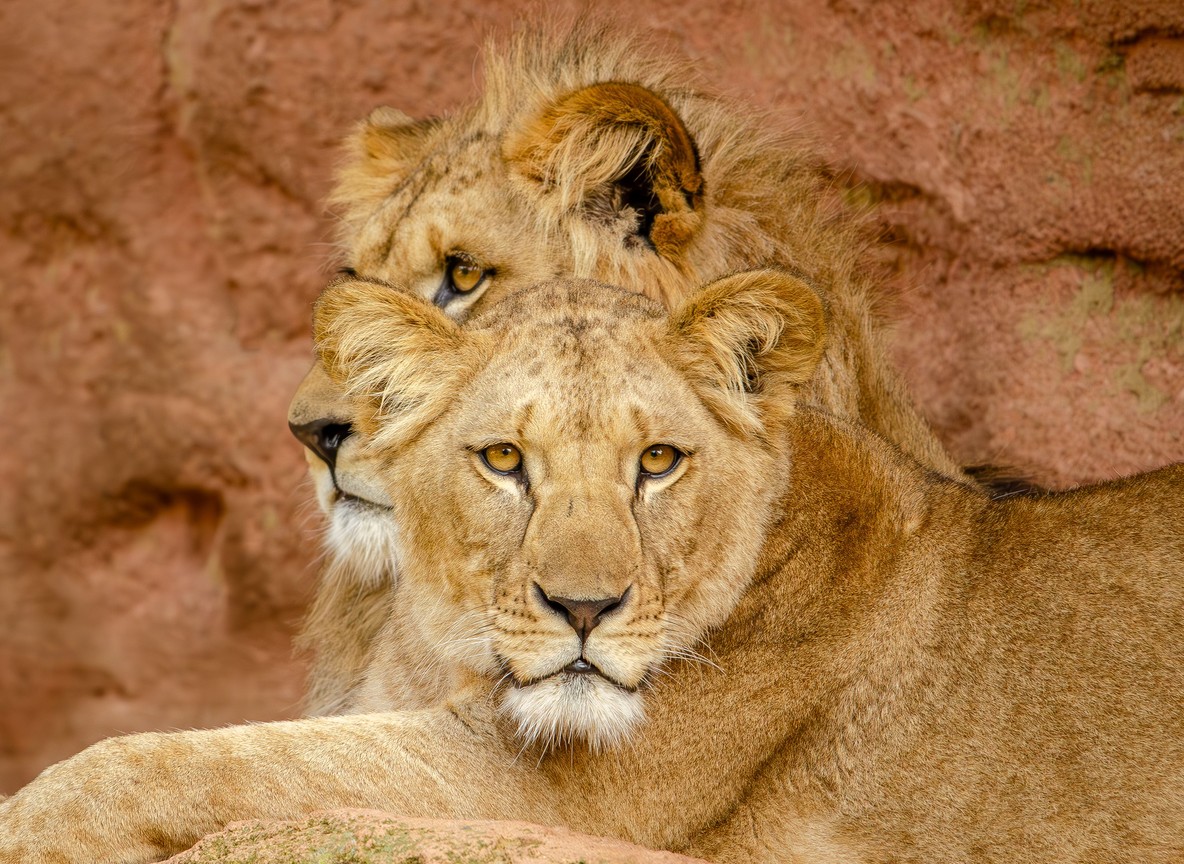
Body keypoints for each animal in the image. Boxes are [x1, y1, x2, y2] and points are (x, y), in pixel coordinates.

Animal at [3, 269, 1181, 863]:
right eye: (502, 460)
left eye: (656, 460)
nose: (583, 609)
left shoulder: (559, 796)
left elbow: (201, 761)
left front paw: (31, 822)